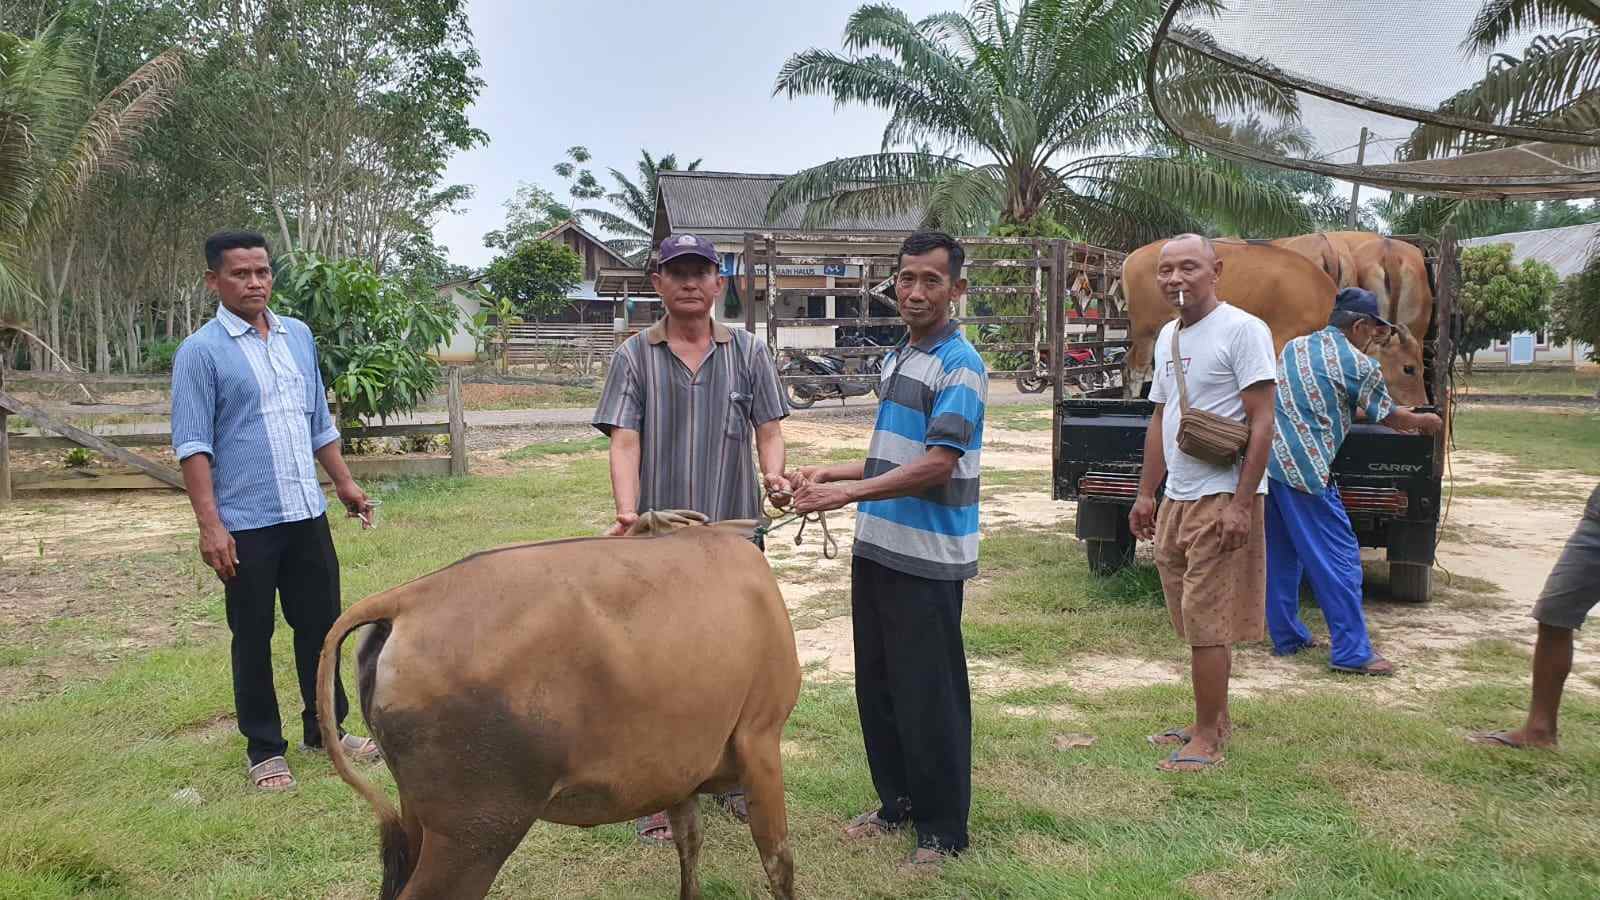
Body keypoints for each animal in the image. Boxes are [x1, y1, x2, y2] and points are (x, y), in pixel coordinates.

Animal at [315, 518, 800, 896]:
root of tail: (406, 599)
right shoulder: (760, 739)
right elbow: (778, 860)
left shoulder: (681, 771)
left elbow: (690, 845)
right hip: (477, 832)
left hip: (422, 815)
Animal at [1120, 238, 1433, 406]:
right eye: (1409, 368)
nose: (1422, 405)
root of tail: (1132, 257)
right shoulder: (1279, 341)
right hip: (1146, 328)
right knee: (1137, 367)